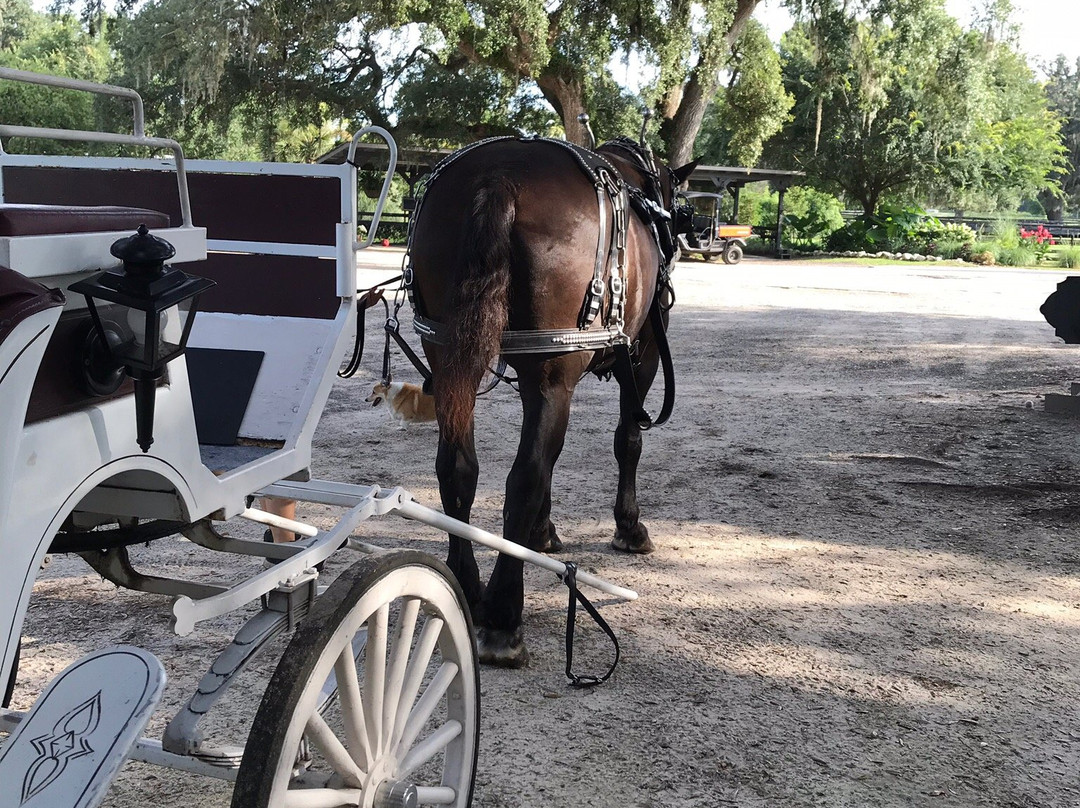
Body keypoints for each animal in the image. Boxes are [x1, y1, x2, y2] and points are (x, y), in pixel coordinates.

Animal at [406, 135, 697, 667]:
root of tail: (499, 175)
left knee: (458, 468)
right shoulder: (641, 356)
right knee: (525, 475)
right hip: (554, 375)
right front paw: (629, 526)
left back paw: (469, 587)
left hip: (450, 358)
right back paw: (504, 618)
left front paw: (542, 533)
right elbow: (627, 441)